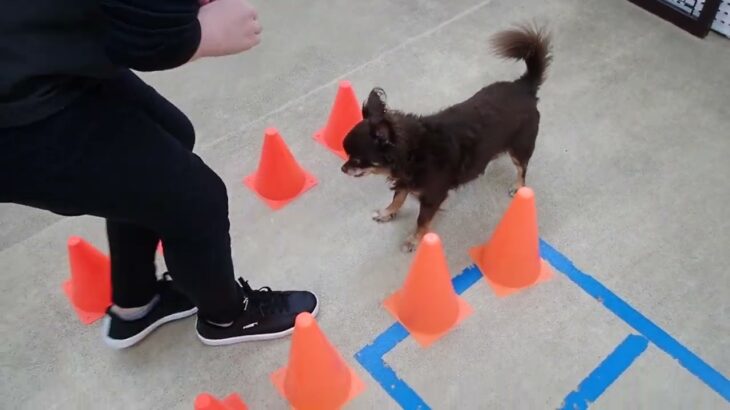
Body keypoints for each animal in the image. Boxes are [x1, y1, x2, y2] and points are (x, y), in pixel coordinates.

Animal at [342, 25, 552, 253]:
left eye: (356, 159)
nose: (343, 169)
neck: (413, 152)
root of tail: (524, 86)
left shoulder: (432, 198)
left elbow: (421, 221)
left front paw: (414, 240)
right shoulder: (405, 182)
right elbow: (397, 198)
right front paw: (386, 213)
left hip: (520, 147)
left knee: (522, 169)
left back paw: (518, 186)